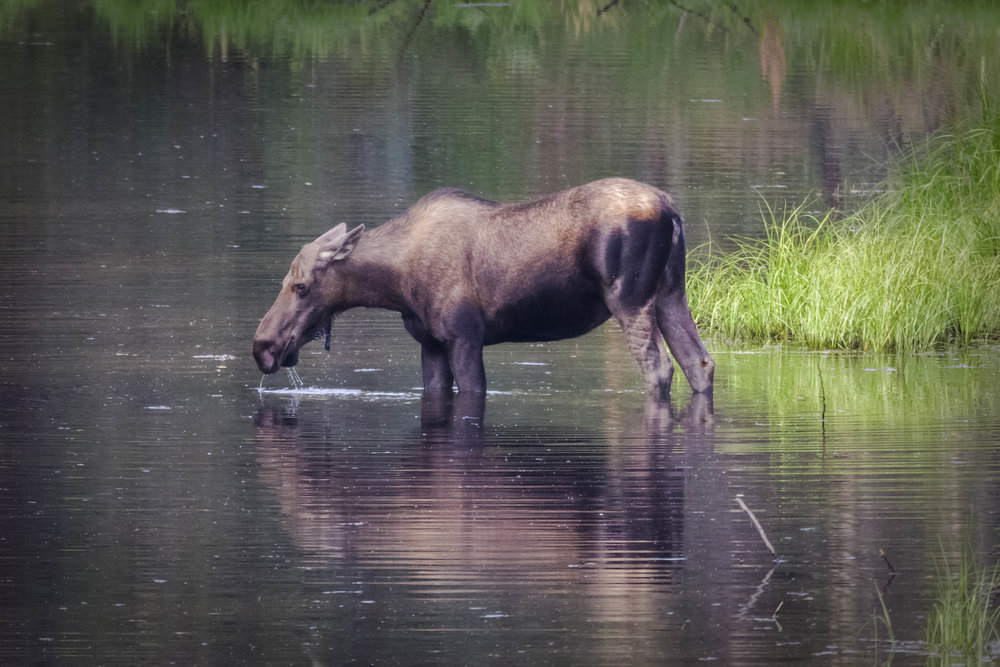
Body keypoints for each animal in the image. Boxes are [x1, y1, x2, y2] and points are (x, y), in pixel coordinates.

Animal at [254, 177, 716, 400]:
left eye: (300, 286)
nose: (263, 347)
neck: (396, 285)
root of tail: (672, 211)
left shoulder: (465, 337)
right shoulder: (431, 343)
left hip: (630, 298)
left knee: (659, 368)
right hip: (671, 293)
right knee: (700, 362)